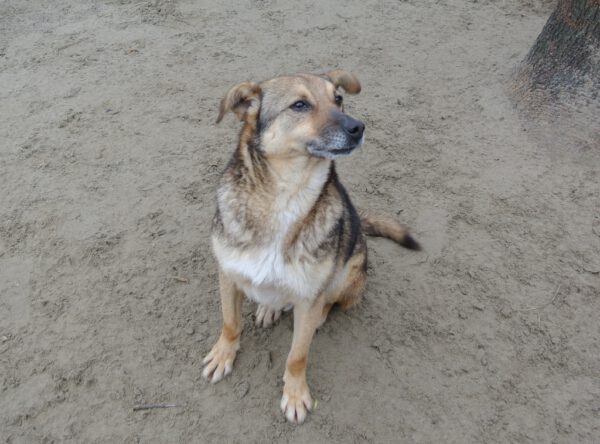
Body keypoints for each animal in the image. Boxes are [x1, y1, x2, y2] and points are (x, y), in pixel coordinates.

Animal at [202, 71, 418, 424]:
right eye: (299, 105)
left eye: (339, 99)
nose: (358, 127)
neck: (284, 199)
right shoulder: (228, 274)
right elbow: (230, 323)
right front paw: (223, 354)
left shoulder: (308, 296)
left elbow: (297, 356)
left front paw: (295, 394)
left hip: (346, 272)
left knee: (330, 302)